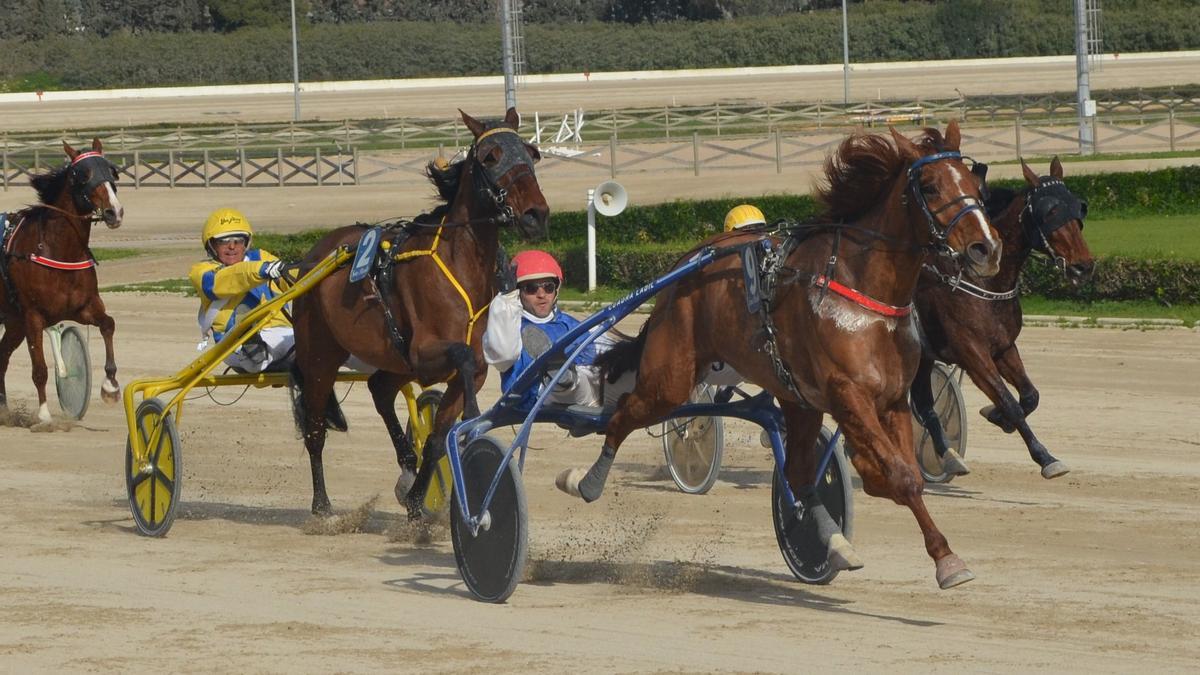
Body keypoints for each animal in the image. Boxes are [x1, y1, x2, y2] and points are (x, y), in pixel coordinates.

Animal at [0, 139, 123, 422]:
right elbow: (40, 369)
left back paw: (3, 408)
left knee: (1, 357)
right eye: (83, 175)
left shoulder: (81, 307)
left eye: (112, 172)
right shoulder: (33, 316)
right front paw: (44, 415)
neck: (59, 250)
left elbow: (108, 324)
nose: (114, 212)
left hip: (13, 323)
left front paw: (110, 386)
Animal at [292, 107, 549, 514]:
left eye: (532, 152)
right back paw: (321, 505)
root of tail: (318, 253)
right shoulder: (425, 352)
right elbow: (461, 359)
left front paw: (416, 502)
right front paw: (473, 418)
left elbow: (439, 434)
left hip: (395, 360)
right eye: (490, 157)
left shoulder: (464, 369)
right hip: (320, 354)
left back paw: (406, 465)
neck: (459, 263)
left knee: (380, 388)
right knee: (316, 428)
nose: (535, 214)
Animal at [576, 121, 998, 588]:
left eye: (974, 180)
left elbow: (898, 471)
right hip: (670, 378)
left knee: (797, 473)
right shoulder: (848, 393)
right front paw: (947, 561)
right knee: (623, 415)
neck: (864, 291)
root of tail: (683, 266)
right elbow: (902, 477)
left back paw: (832, 541)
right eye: (930, 185)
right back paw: (585, 481)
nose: (985, 248)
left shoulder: (890, 399)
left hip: (796, 398)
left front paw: (934, 545)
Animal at [912, 153, 1094, 478]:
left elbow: (1029, 396)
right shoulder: (972, 353)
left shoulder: (1003, 347)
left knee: (923, 403)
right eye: (1050, 211)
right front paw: (1046, 457)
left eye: (1078, 206)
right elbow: (1010, 401)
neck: (982, 282)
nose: (1083, 267)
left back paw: (947, 453)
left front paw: (997, 415)